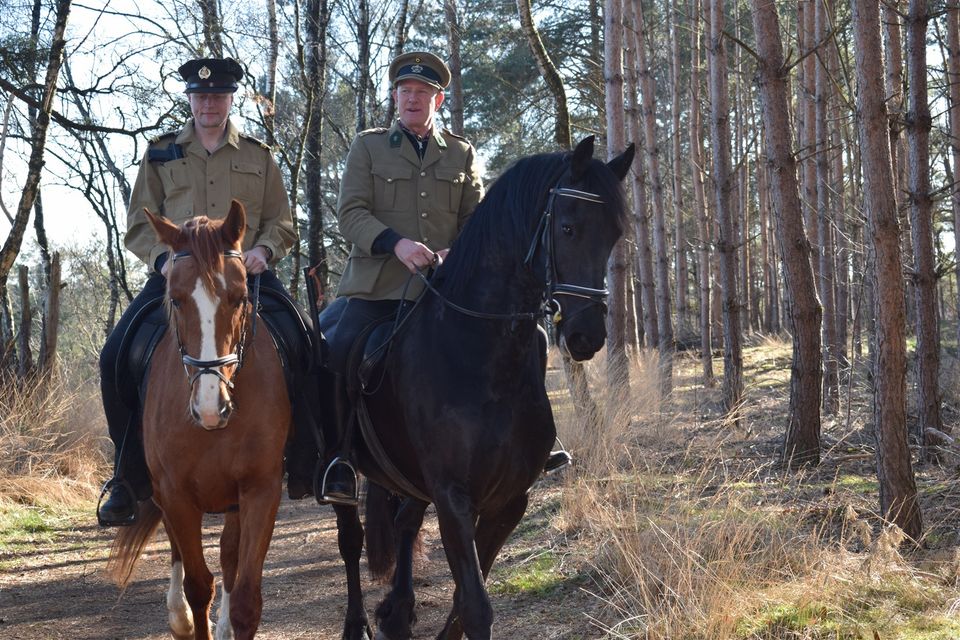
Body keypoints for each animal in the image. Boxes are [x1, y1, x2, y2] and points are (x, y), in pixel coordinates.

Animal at [106, 201, 292, 640]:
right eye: (175, 300)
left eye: (240, 297)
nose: (211, 408)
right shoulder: (175, 494)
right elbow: (197, 585)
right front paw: (190, 616)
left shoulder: (260, 490)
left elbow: (245, 596)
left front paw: (228, 622)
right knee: (181, 554)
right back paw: (180, 618)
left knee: (228, 557)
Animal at [330, 136, 635, 640]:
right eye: (568, 228)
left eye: (615, 234)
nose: (587, 335)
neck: (480, 356)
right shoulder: (454, 497)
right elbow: (474, 605)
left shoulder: (508, 500)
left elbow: (463, 599)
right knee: (350, 541)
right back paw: (358, 623)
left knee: (405, 522)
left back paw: (398, 610)